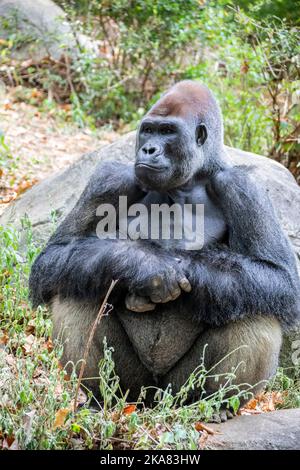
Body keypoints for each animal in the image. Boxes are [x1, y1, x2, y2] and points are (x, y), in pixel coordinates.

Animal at [28, 81, 300, 412]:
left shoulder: (244, 188)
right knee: (77, 286)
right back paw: (98, 398)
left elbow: (280, 278)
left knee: (255, 304)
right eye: (148, 130)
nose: (148, 149)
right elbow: (54, 255)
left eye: (168, 131)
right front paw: (145, 266)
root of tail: (153, 401)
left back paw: (218, 405)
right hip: (133, 391)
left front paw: (184, 269)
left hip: (178, 391)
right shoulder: (111, 179)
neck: (188, 181)